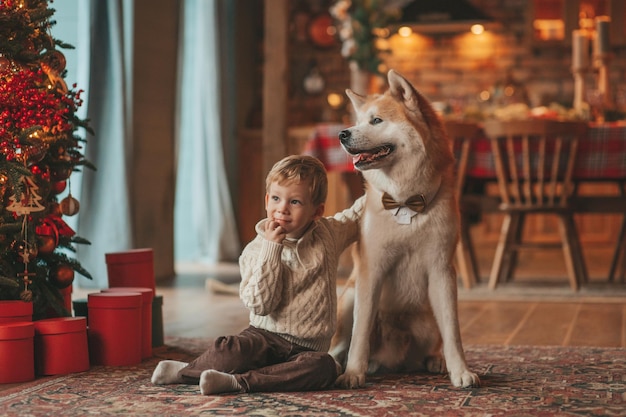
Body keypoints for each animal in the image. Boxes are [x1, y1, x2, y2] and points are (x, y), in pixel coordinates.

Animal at [332, 70, 478, 388]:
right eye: (359, 120)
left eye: (376, 120)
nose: (342, 134)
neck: (405, 203)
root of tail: (394, 359)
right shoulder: (371, 270)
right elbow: (360, 333)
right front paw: (353, 372)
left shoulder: (442, 270)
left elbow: (453, 332)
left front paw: (460, 370)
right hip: (348, 298)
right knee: (342, 343)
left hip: (428, 319)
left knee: (432, 344)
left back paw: (434, 361)